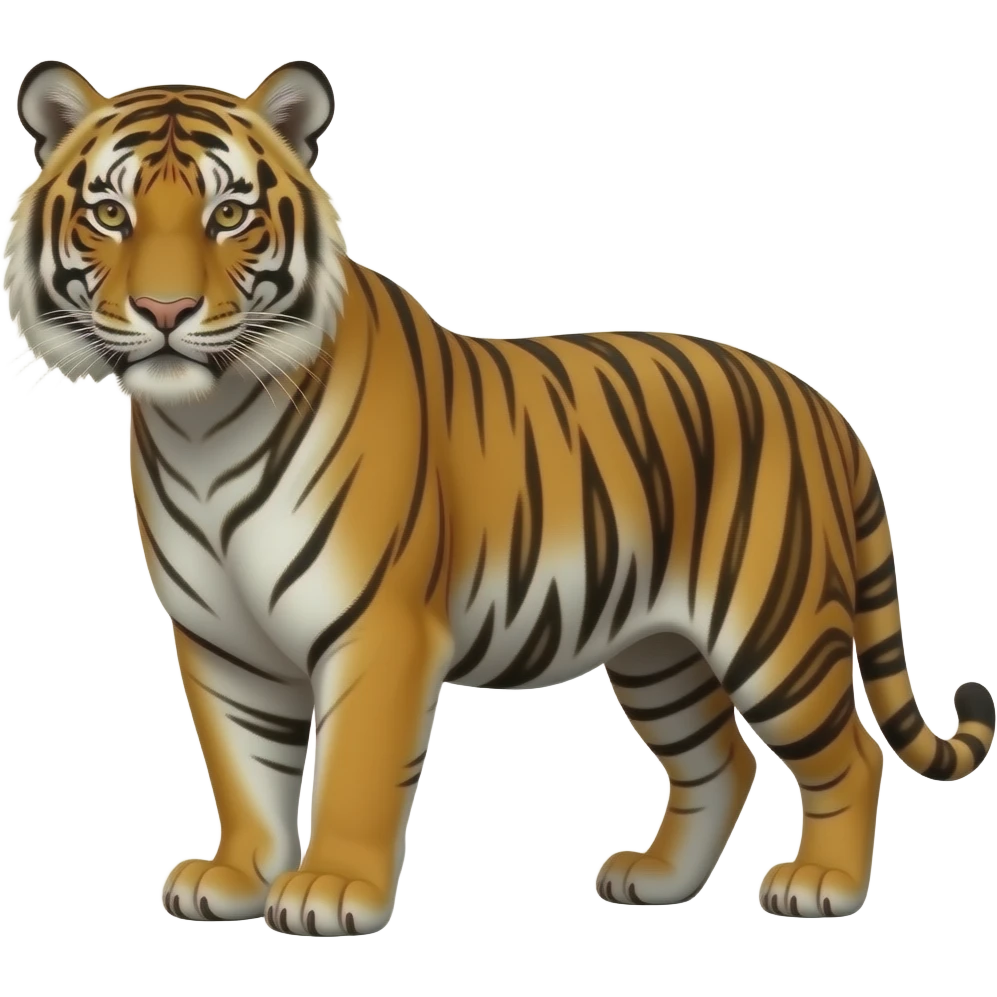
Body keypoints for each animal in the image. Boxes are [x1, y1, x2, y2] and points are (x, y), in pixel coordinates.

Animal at [5, 58, 994, 935]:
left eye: (229, 215)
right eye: (110, 213)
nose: (166, 313)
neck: (203, 426)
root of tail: (822, 406)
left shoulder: (379, 627)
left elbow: (355, 764)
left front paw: (330, 890)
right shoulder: (222, 639)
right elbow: (245, 767)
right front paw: (238, 877)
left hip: (773, 628)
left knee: (848, 754)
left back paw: (821, 884)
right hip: (659, 650)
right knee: (719, 760)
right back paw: (655, 880)